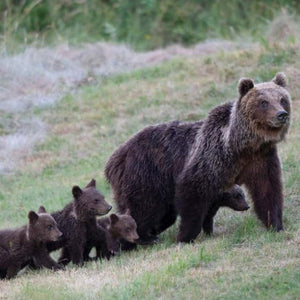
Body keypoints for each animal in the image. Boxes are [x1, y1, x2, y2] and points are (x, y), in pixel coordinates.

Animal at [105, 73, 290, 244]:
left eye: (282, 99)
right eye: (264, 102)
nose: (282, 114)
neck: (241, 146)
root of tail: (115, 158)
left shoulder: (261, 159)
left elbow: (268, 190)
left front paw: (275, 224)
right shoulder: (211, 158)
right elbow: (192, 193)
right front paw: (185, 236)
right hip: (145, 175)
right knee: (143, 207)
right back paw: (145, 237)